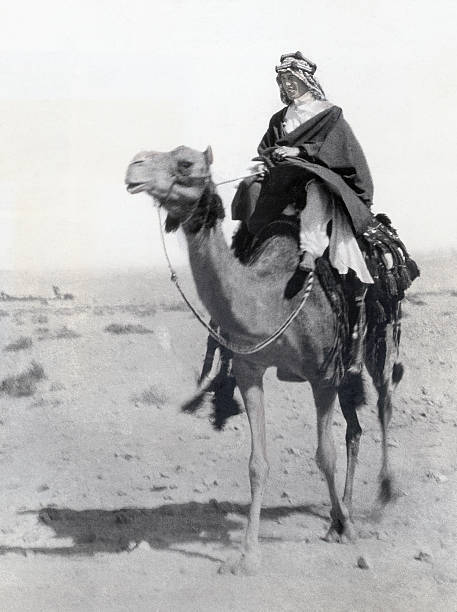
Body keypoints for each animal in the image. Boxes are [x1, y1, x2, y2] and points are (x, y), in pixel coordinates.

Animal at [124, 146, 402, 576]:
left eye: (185, 163)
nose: (134, 167)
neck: (274, 298)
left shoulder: (322, 375)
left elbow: (324, 455)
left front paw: (348, 530)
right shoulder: (249, 369)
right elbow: (258, 463)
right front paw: (248, 555)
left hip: (377, 336)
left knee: (385, 402)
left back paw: (382, 496)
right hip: (344, 367)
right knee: (355, 428)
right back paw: (343, 513)